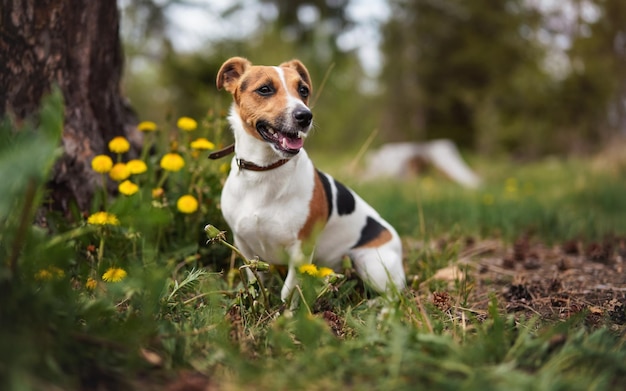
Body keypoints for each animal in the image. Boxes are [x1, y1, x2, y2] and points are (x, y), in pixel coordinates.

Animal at [211, 57, 404, 304]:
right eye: (265, 89)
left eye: (303, 90)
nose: (305, 116)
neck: (265, 170)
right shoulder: (243, 243)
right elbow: (256, 280)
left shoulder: (301, 250)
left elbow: (288, 291)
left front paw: (286, 312)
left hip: (371, 263)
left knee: (395, 296)